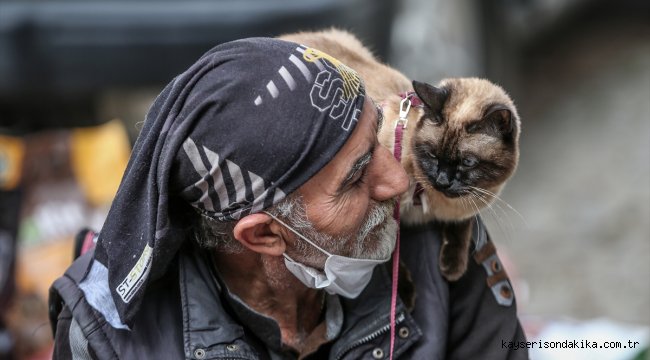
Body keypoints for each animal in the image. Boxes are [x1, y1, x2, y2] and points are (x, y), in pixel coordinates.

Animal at [278, 29, 516, 282]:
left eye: (468, 162)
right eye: (432, 155)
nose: (442, 181)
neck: (429, 203)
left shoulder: (463, 209)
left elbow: (461, 228)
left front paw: (452, 269)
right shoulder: (384, 215)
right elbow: (388, 254)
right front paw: (406, 288)